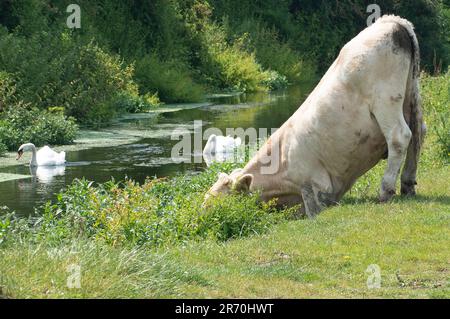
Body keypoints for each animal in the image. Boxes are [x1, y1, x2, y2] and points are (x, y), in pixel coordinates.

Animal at [204, 16, 426, 219]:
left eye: (219, 202)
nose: (201, 217)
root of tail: (392, 20)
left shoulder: (315, 186)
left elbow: (314, 209)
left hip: (385, 100)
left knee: (399, 136)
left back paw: (386, 190)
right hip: (411, 94)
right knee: (418, 133)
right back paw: (407, 184)